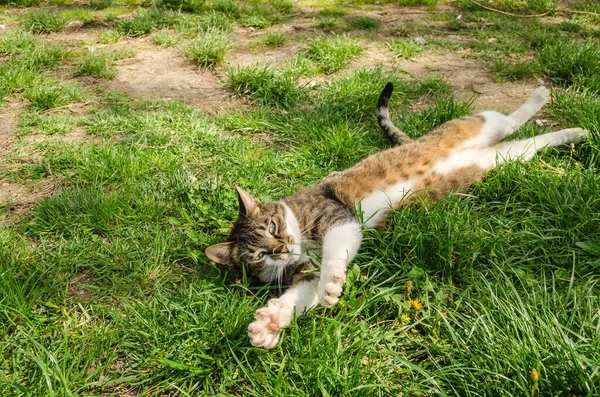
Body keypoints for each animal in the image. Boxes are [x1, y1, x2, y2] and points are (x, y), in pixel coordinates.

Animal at [205, 83, 584, 346]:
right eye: (259, 256)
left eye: (273, 226)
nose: (281, 248)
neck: (300, 231)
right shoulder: (304, 271)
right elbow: (299, 296)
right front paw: (271, 322)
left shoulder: (338, 217)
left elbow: (332, 259)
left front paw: (330, 283)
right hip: (503, 159)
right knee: (530, 143)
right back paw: (571, 134)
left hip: (479, 124)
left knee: (510, 119)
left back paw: (543, 99)